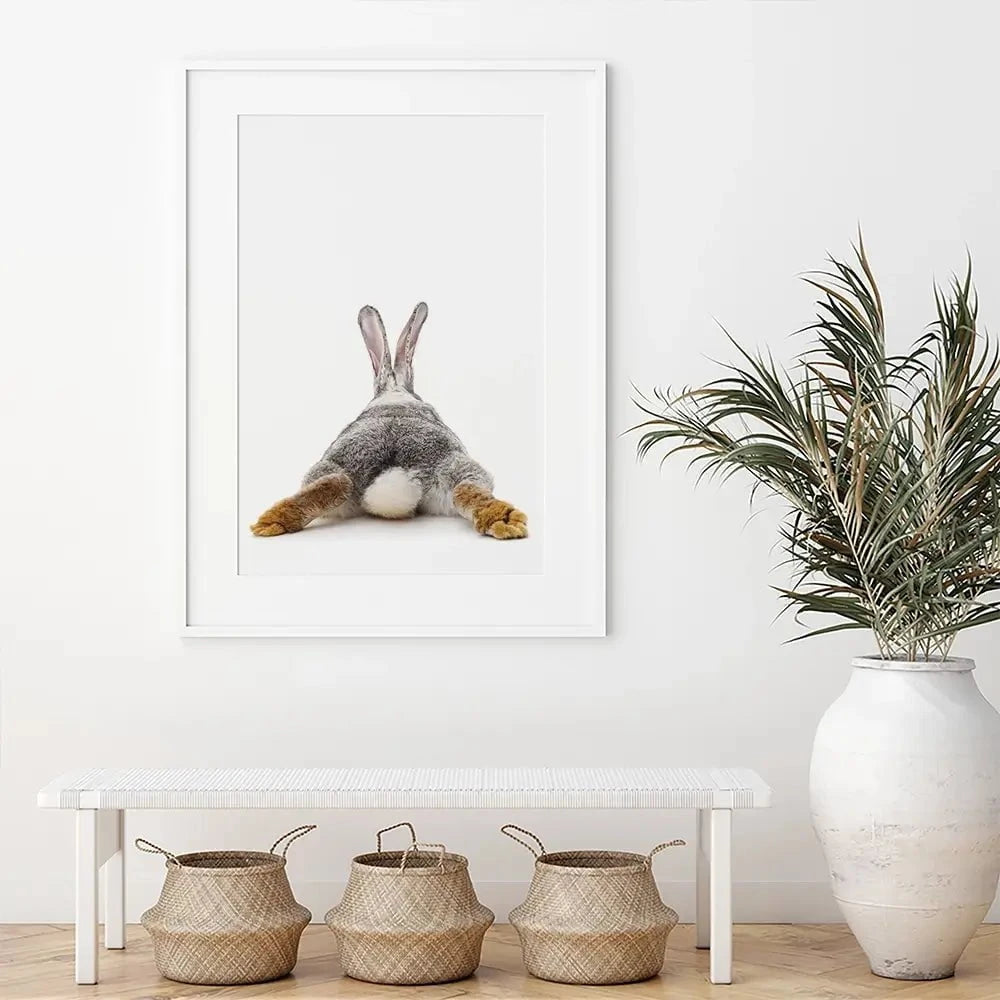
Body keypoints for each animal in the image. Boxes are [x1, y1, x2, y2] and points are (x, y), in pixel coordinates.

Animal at [250, 302, 528, 540]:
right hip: (457, 466)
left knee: (336, 483)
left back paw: (270, 524)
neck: (394, 394)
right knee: (465, 489)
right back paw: (506, 520)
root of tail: (394, 473)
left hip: (332, 469)